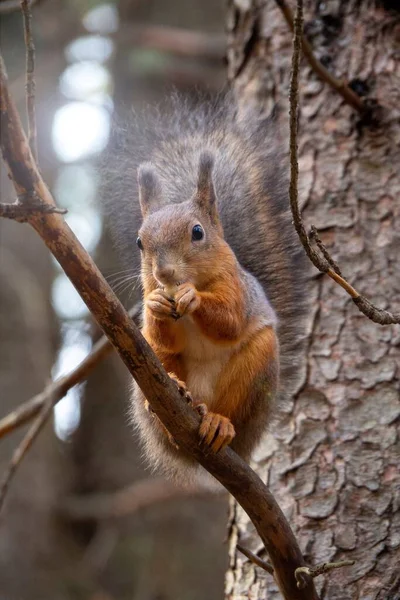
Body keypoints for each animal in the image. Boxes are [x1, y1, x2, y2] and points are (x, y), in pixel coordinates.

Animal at [104, 94, 308, 488]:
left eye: (197, 232)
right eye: (139, 242)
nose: (163, 272)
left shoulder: (236, 290)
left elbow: (228, 322)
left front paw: (192, 299)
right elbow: (164, 336)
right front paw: (155, 303)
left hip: (257, 370)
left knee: (230, 409)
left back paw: (218, 423)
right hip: (149, 368)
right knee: (161, 361)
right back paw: (174, 397)